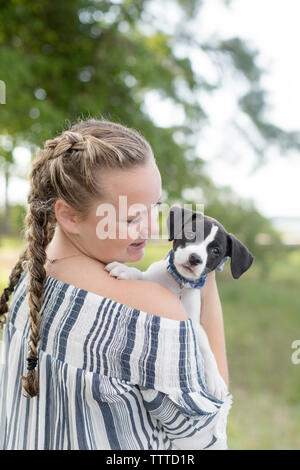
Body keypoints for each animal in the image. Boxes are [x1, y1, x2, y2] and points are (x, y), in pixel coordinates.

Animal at [104, 206, 254, 400]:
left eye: (216, 251)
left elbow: (207, 350)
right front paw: (126, 270)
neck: (179, 284)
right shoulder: (151, 280)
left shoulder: (194, 324)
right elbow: (141, 275)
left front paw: (216, 379)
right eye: (191, 233)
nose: (195, 258)